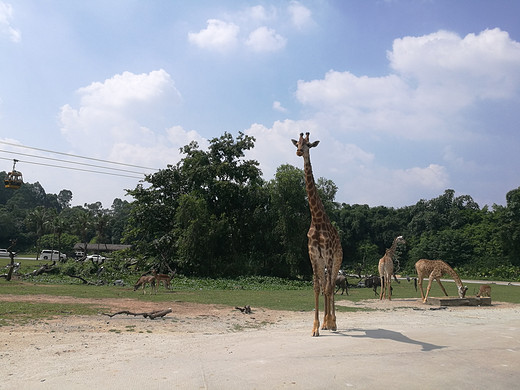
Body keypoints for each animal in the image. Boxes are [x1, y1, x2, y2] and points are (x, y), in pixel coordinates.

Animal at [290, 133, 344, 336]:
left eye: (308, 145)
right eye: (297, 144)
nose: (299, 152)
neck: (317, 219)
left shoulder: (327, 255)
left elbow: (327, 288)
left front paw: (330, 322)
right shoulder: (313, 255)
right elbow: (316, 287)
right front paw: (315, 327)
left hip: (337, 260)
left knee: (332, 285)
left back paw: (333, 322)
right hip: (322, 262)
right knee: (326, 285)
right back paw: (325, 324)